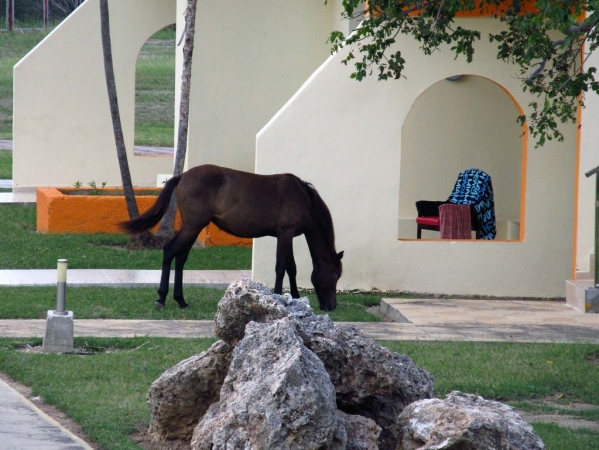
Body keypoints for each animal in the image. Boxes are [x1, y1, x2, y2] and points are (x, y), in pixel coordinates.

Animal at [119, 164, 344, 310]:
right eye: (336, 275)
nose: (331, 306)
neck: (303, 198)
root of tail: (182, 176)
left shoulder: (287, 236)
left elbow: (291, 268)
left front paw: (296, 297)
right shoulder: (285, 234)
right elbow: (281, 268)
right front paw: (279, 298)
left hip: (193, 227)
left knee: (181, 257)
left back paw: (180, 300)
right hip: (192, 226)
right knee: (170, 251)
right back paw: (162, 299)